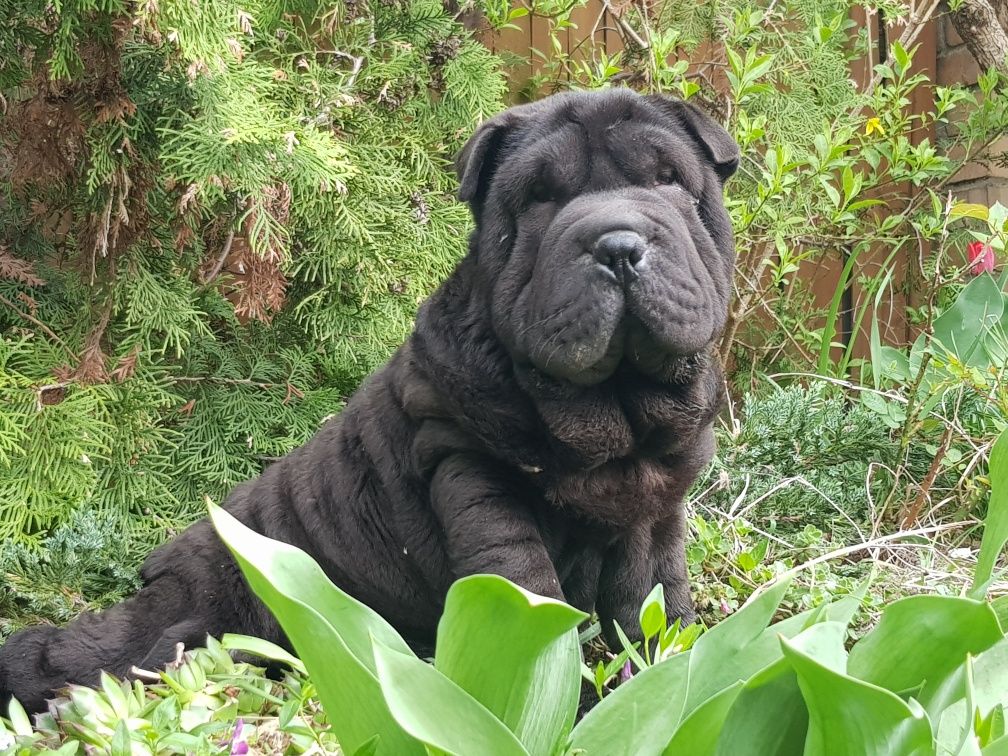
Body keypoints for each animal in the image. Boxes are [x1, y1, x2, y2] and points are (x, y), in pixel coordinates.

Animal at [0, 87, 741, 709]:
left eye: (667, 180)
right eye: (539, 199)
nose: (617, 242)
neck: (612, 420)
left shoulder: (655, 505)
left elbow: (657, 603)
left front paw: (674, 677)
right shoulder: (469, 469)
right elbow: (528, 586)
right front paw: (552, 693)